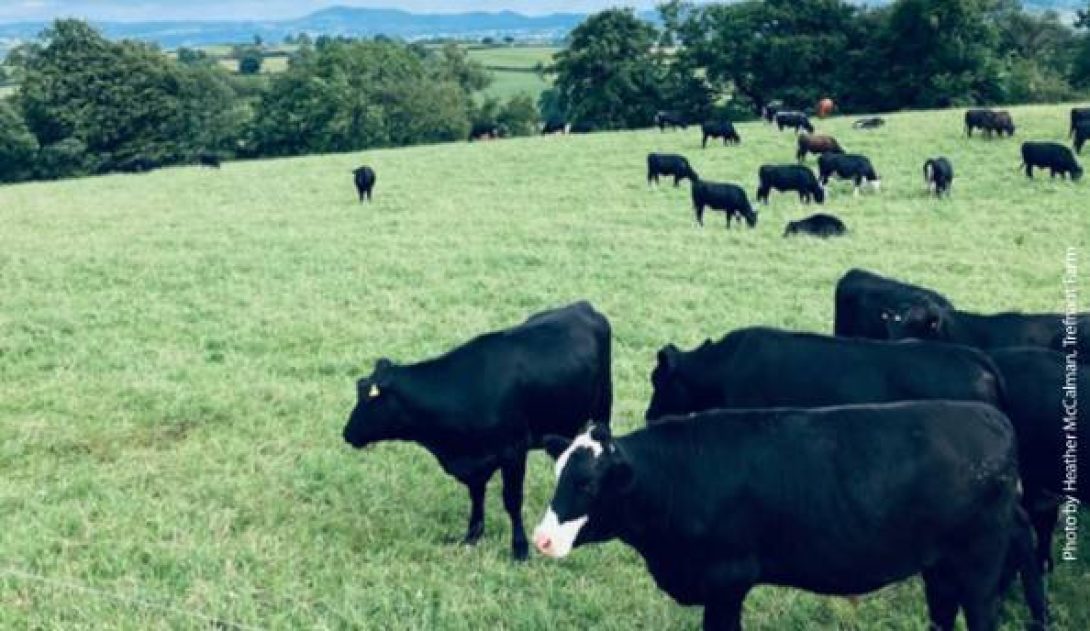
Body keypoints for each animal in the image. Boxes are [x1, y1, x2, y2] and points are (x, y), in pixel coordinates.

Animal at [342, 302, 612, 561]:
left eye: (369, 399)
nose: (347, 433)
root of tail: (582, 306)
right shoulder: (474, 463)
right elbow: (476, 496)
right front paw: (472, 535)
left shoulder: (514, 451)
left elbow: (512, 500)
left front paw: (520, 549)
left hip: (602, 410)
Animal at [534, 403, 1040, 631]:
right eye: (558, 474)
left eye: (587, 485)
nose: (542, 539)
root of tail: (993, 418)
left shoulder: (727, 581)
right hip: (939, 568)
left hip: (979, 572)